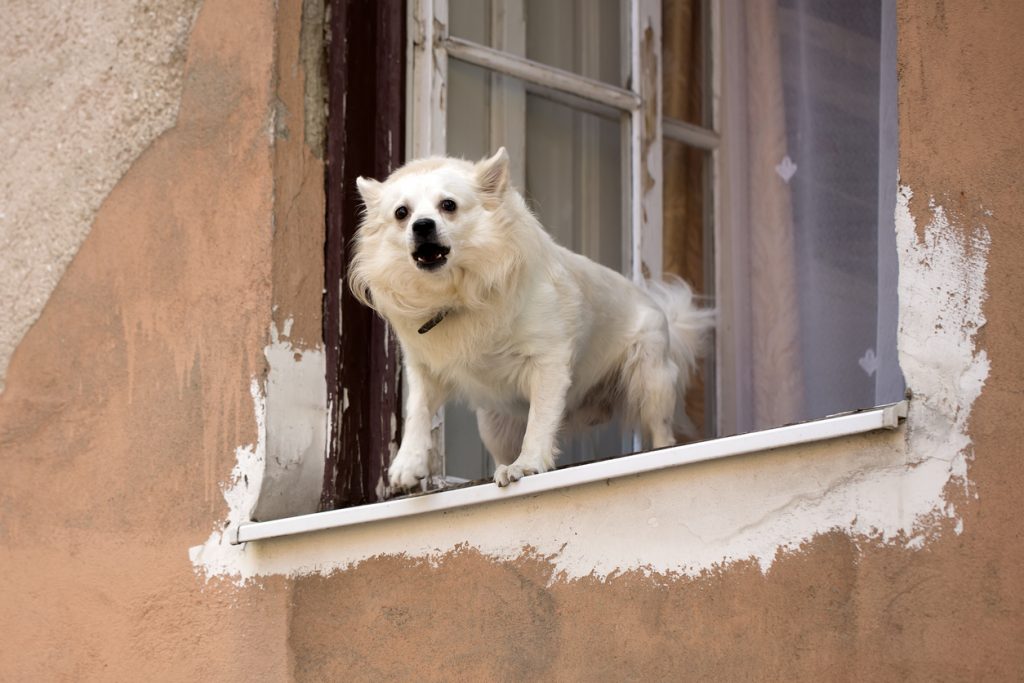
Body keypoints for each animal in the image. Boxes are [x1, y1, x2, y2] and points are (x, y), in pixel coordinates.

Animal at [352, 149, 712, 491]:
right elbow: (417, 412)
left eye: (448, 206)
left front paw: (527, 465)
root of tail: (658, 307)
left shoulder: (548, 363)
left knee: (662, 432)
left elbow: (540, 420)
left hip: (650, 379)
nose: (422, 225)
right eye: (402, 214)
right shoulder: (425, 370)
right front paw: (408, 463)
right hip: (493, 424)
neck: (457, 295)